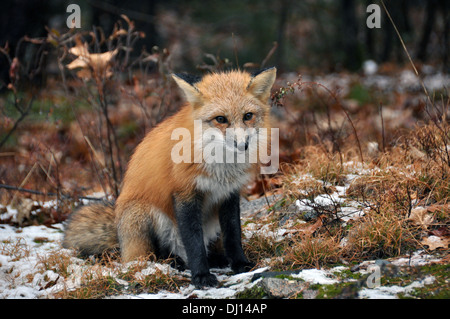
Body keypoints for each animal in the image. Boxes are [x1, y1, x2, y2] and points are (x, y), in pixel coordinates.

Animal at [62, 67, 276, 288]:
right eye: (220, 119)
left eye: (248, 116)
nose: (243, 145)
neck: (222, 168)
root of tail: (120, 234)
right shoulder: (184, 194)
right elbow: (194, 241)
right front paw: (201, 275)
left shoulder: (229, 194)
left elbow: (233, 235)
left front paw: (240, 264)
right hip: (142, 216)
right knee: (153, 255)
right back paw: (171, 263)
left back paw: (217, 259)